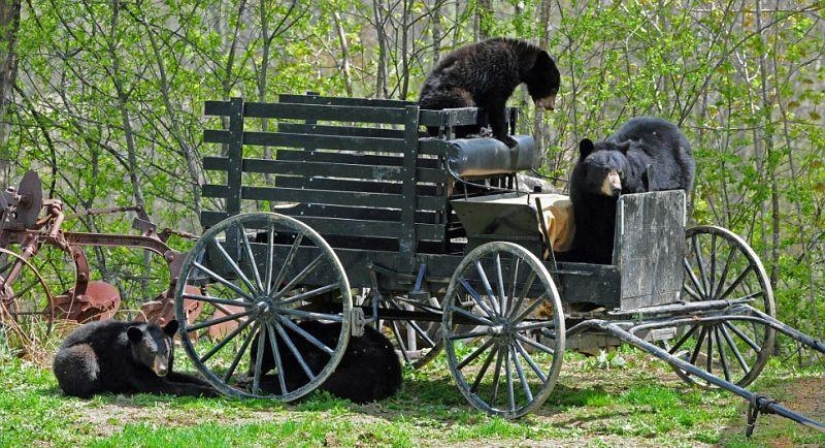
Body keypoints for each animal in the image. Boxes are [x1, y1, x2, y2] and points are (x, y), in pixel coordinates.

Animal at [53, 319, 218, 398]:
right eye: (151, 352)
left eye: (166, 351)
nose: (161, 370)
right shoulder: (129, 365)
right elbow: (160, 386)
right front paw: (213, 392)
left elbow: (183, 376)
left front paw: (210, 385)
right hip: (77, 354)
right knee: (84, 361)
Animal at [248, 320, 402, 403]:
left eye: (254, 355)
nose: (250, 372)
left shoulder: (308, 358)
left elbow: (294, 382)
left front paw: (259, 386)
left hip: (365, 366)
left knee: (343, 383)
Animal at [418, 37, 560, 147]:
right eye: (553, 89)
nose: (551, 107)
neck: (518, 62)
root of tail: (421, 103)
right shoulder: (499, 75)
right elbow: (496, 104)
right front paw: (507, 139)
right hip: (444, 95)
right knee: (464, 102)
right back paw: (473, 132)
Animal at [561, 116, 694, 265]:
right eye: (605, 170)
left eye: (620, 172)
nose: (616, 189)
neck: (601, 197)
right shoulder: (582, 194)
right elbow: (588, 225)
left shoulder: (633, 186)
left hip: (680, 175)